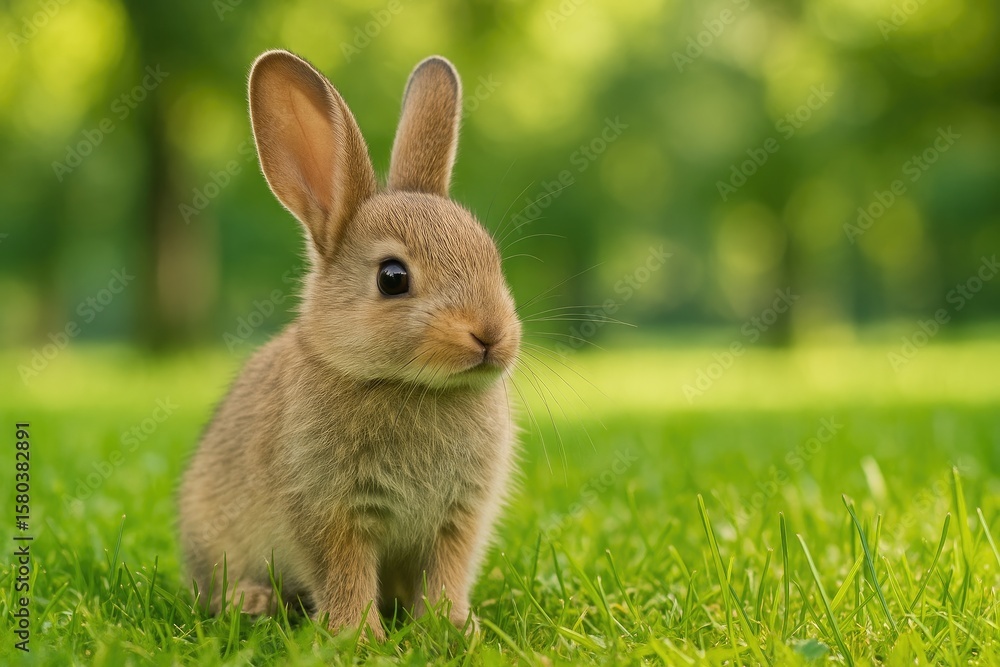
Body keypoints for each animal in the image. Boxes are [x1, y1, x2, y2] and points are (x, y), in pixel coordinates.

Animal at [178, 49, 521, 641]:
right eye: (392, 278)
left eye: (491, 258)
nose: (491, 334)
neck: (410, 386)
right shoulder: (327, 512)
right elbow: (345, 573)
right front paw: (359, 636)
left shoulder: (459, 519)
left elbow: (447, 573)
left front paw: (451, 627)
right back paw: (252, 602)